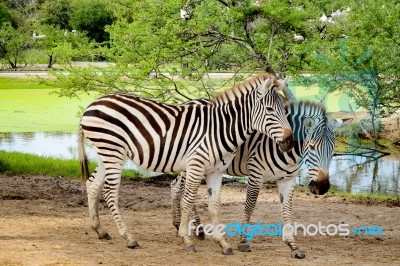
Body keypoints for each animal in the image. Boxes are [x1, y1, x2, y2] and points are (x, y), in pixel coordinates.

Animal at [77, 72, 294, 254]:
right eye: (269, 109)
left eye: (285, 110)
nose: (290, 142)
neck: (220, 129)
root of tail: (93, 104)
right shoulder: (196, 165)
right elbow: (188, 200)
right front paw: (186, 239)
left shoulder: (216, 171)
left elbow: (214, 205)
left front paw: (222, 242)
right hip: (113, 151)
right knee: (110, 192)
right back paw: (128, 237)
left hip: (107, 153)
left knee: (93, 185)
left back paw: (100, 230)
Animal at [170, 99, 352, 258]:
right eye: (312, 146)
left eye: (333, 148)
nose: (322, 187)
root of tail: (188, 102)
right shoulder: (256, 173)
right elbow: (249, 206)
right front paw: (243, 241)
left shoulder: (288, 180)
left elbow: (287, 211)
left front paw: (293, 246)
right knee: (183, 190)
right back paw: (191, 228)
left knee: (175, 186)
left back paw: (184, 226)